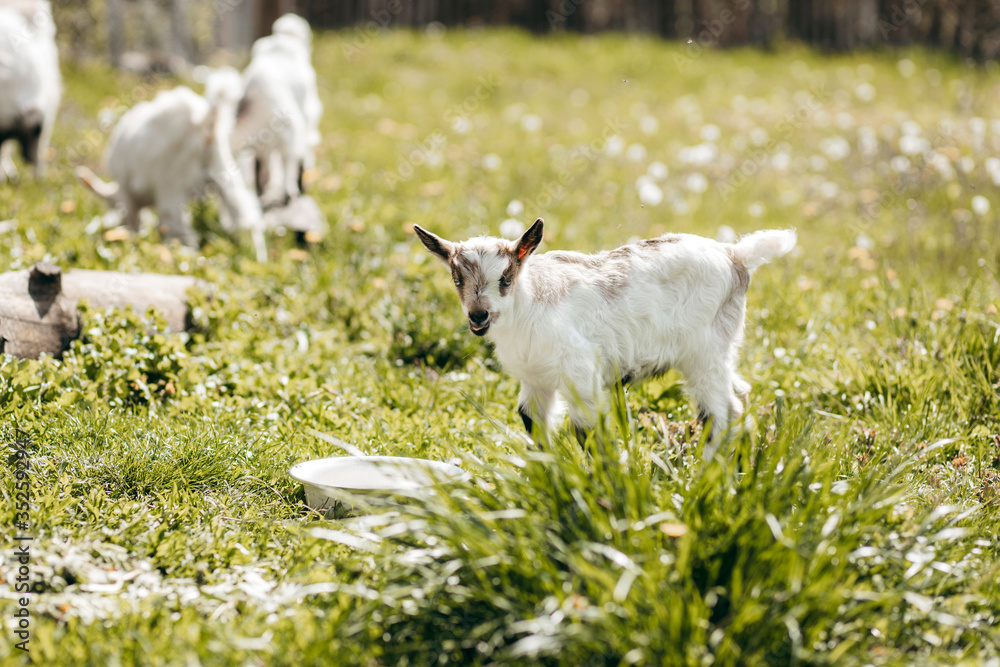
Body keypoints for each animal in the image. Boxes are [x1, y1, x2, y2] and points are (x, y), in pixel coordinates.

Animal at [76, 68, 265, 261]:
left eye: (113, 207)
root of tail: (202, 120)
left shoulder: (126, 194)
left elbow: (135, 219)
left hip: (172, 183)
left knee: (181, 230)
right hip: (223, 170)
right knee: (246, 216)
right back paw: (258, 257)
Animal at [231, 13, 322, 207]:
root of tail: (284, 35)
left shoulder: (291, 130)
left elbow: (289, 159)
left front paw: (289, 194)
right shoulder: (260, 145)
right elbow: (260, 170)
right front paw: (260, 197)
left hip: (307, 113)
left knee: (304, 149)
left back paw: (300, 187)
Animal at [415, 218, 796, 455]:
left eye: (505, 279)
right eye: (457, 279)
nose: (478, 316)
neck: (529, 303)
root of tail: (735, 257)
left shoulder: (580, 373)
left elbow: (586, 430)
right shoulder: (535, 379)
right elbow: (531, 422)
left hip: (703, 355)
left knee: (719, 413)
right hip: (722, 351)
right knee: (740, 398)